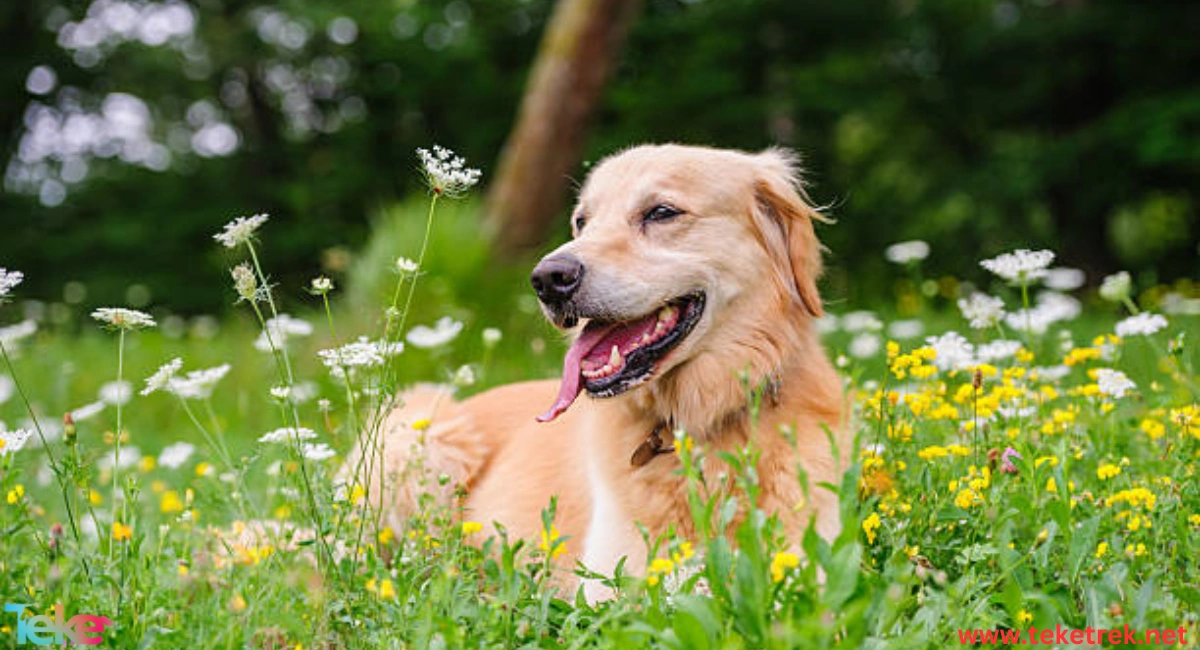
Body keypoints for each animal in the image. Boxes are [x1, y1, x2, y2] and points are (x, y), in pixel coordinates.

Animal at [348, 143, 854, 602]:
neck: (695, 425)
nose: (547, 278)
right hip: (421, 437)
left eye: (662, 212)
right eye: (581, 221)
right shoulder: (610, 580)